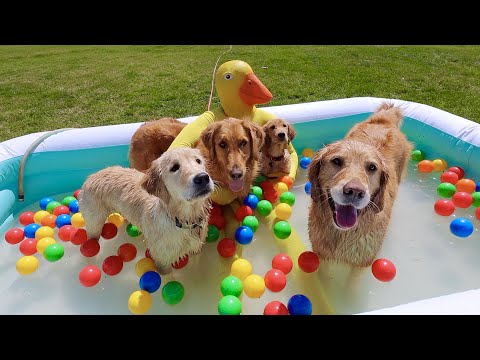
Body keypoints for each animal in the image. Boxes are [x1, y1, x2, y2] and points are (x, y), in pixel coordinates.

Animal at [79, 148, 214, 274]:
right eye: (174, 167)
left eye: (198, 161)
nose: (202, 178)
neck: (183, 219)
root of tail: (90, 177)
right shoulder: (162, 260)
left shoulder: (197, 248)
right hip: (94, 223)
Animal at [308, 102, 412, 268]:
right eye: (336, 161)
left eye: (372, 167)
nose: (355, 191)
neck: (342, 233)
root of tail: (384, 120)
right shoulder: (322, 255)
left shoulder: (362, 262)